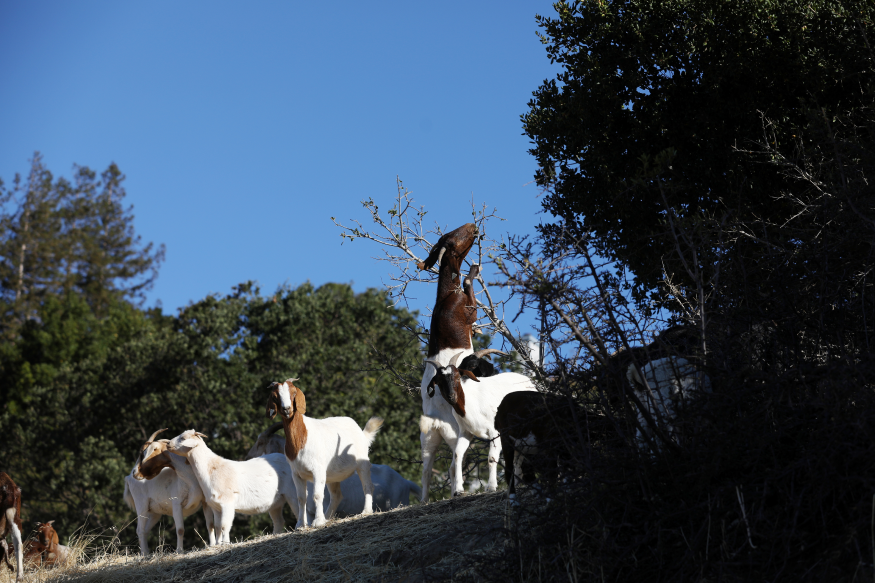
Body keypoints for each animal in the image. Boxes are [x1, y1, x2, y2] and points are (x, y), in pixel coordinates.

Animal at [124, 428, 218, 556]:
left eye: (143, 454)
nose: (135, 472)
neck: (191, 478)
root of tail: (128, 479)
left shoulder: (204, 501)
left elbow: (210, 524)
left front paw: (212, 545)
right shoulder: (177, 504)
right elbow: (180, 529)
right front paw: (179, 551)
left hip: (154, 513)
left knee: (145, 530)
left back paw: (146, 554)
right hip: (141, 506)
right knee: (140, 530)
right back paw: (144, 555)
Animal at [161, 428, 302, 544]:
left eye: (183, 438)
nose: (168, 444)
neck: (210, 469)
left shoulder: (227, 503)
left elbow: (225, 526)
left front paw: (226, 544)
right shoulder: (215, 506)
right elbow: (218, 526)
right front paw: (219, 544)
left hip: (292, 493)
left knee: (299, 510)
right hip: (275, 502)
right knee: (279, 521)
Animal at [422, 354, 536, 496]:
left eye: (458, 377)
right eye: (439, 381)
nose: (452, 396)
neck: (472, 402)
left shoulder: (495, 432)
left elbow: (491, 458)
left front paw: (491, 487)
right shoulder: (465, 432)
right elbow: (458, 455)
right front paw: (458, 490)